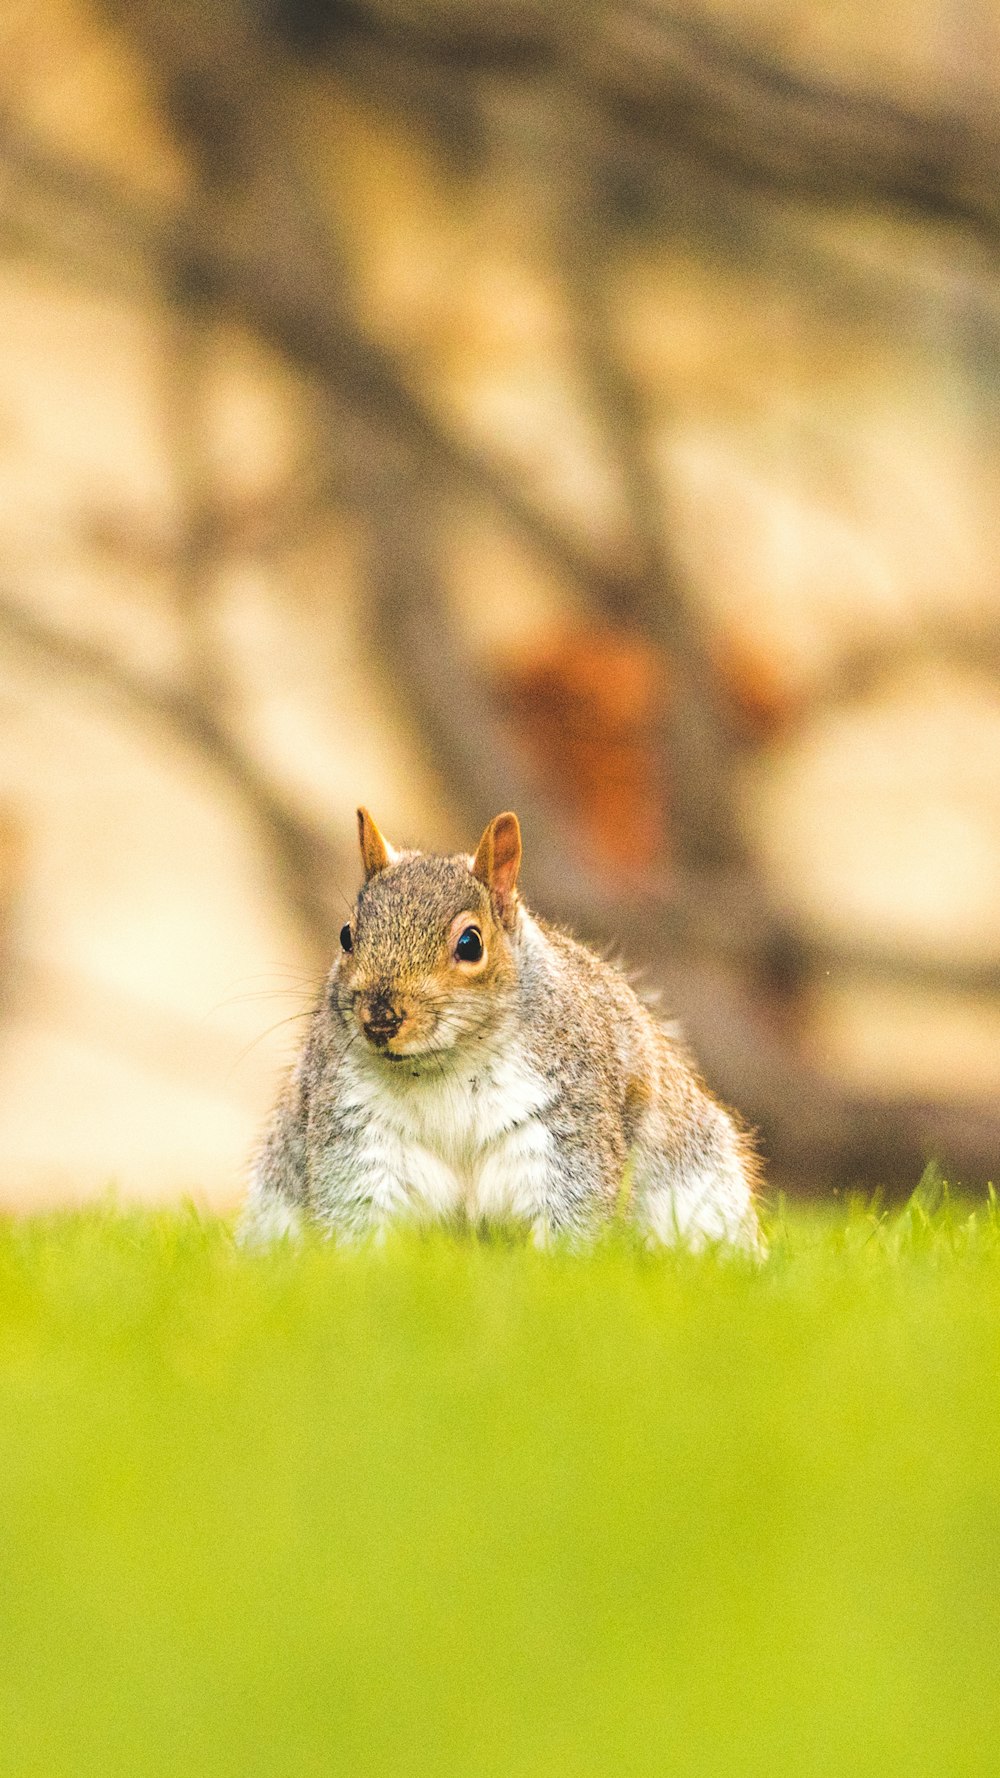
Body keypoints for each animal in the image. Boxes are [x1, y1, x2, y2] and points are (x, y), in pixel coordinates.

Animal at [236, 810, 758, 1251]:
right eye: (346, 935)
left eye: (470, 943)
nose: (380, 1017)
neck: (441, 1065)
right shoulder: (357, 1125)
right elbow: (356, 1209)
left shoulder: (566, 1116)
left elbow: (574, 1207)